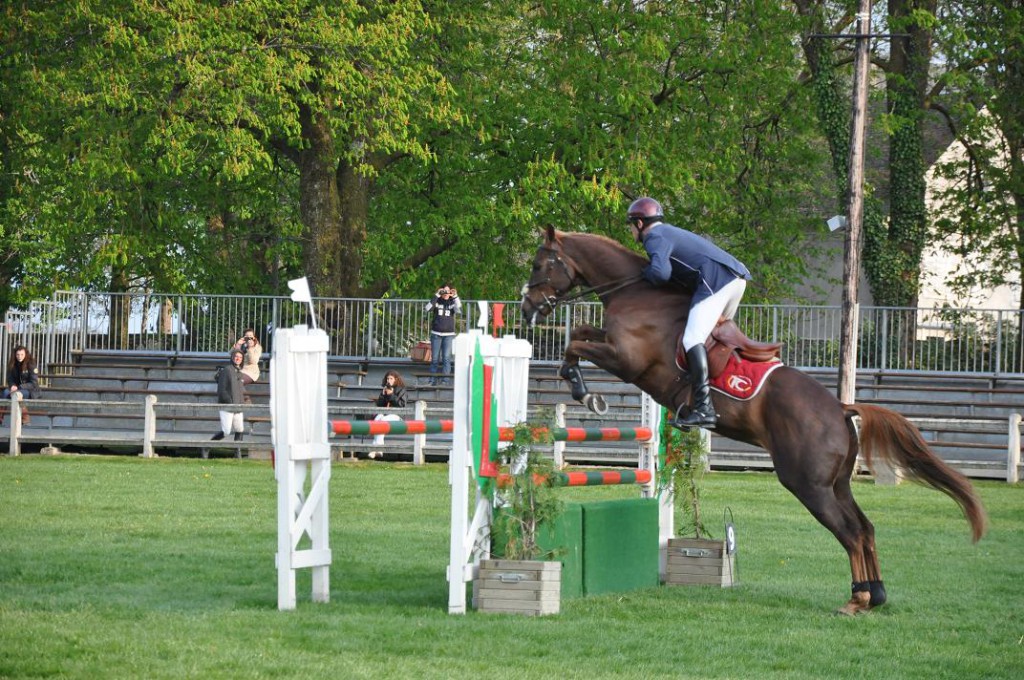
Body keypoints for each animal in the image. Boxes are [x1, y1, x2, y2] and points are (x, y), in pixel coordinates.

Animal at [524, 228, 987, 614]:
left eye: (539, 263)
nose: (528, 307)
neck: (637, 291)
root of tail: (840, 409)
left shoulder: (627, 359)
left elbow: (574, 342)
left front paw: (586, 392)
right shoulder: (615, 349)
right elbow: (580, 333)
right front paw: (582, 386)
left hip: (806, 483)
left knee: (851, 533)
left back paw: (856, 601)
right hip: (835, 484)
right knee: (866, 528)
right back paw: (875, 595)